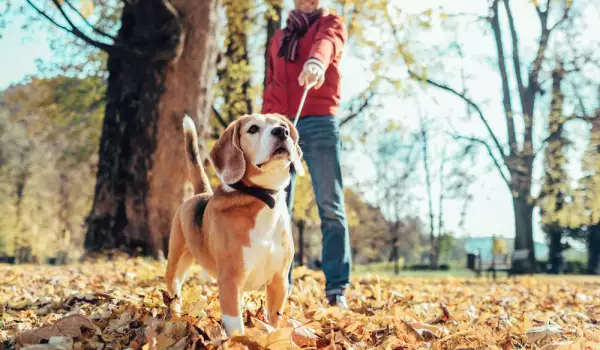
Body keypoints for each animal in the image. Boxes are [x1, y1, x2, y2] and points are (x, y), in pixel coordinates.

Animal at [165, 113, 302, 336]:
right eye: (253, 129)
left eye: (283, 126)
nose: (282, 132)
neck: (263, 198)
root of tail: (202, 193)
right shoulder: (230, 280)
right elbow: (236, 327)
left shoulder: (279, 281)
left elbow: (274, 321)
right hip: (176, 263)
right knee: (174, 292)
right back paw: (174, 318)